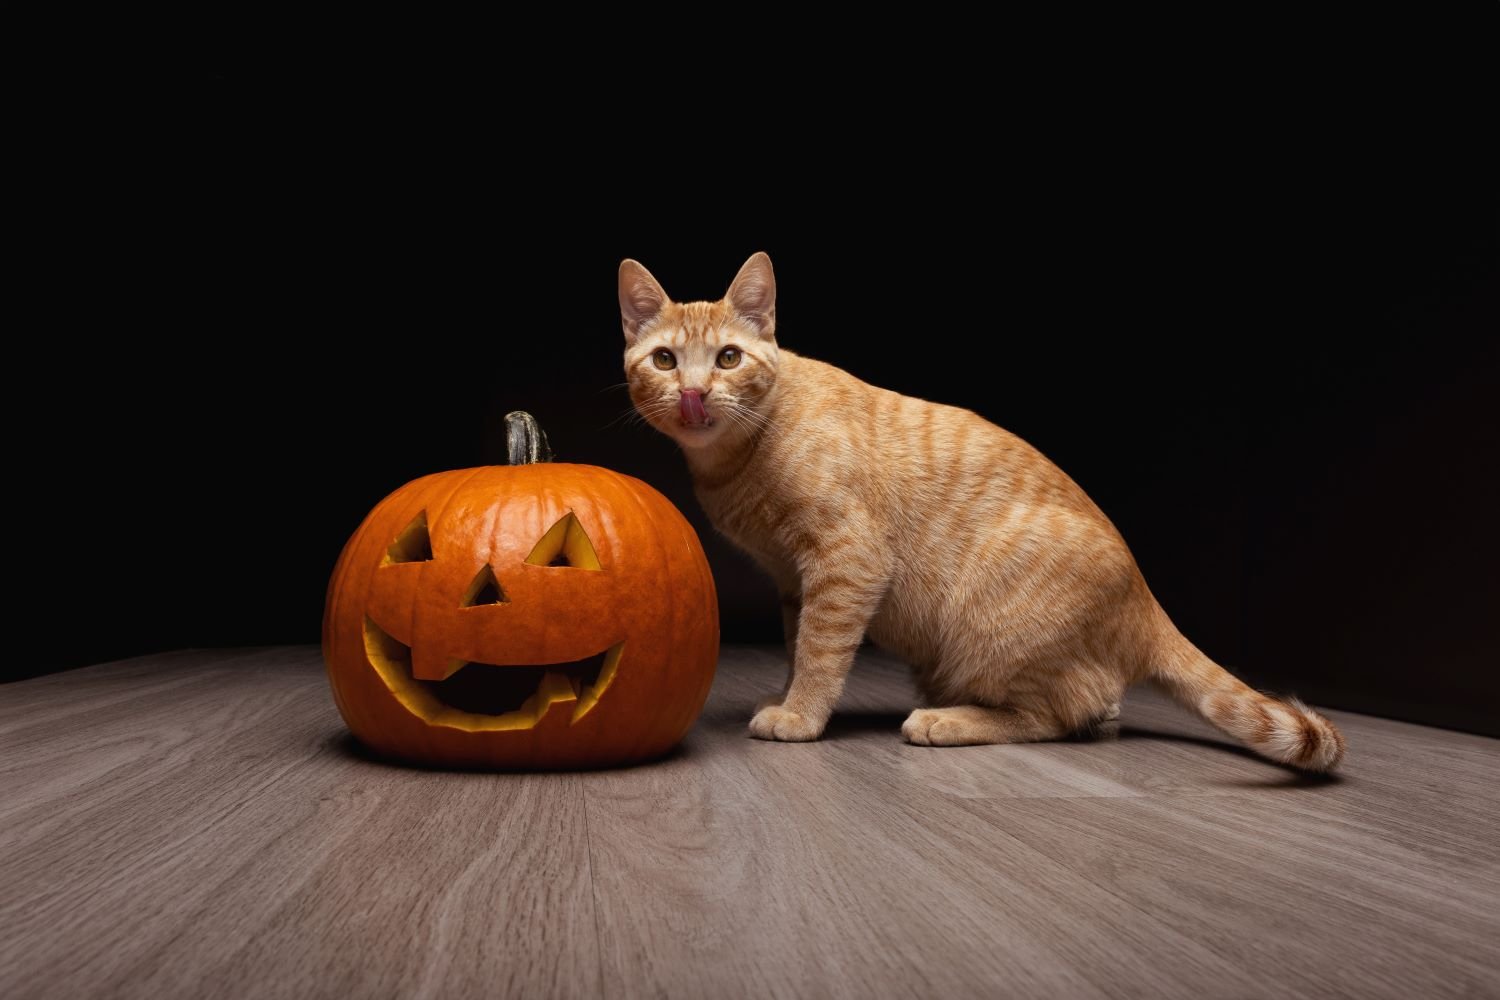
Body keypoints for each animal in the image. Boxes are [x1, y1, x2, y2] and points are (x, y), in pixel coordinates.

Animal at [615, 251, 1344, 773]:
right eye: (666, 359)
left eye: (728, 357)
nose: (693, 393)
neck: (737, 461)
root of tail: (1144, 597)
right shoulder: (794, 580)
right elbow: (799, 646)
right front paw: (788, 695)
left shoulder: (846, 562)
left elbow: (822, 653)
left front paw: (801, 715)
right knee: (1095, 705)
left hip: (990, 631)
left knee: (1060, 714)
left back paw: (948, 719)